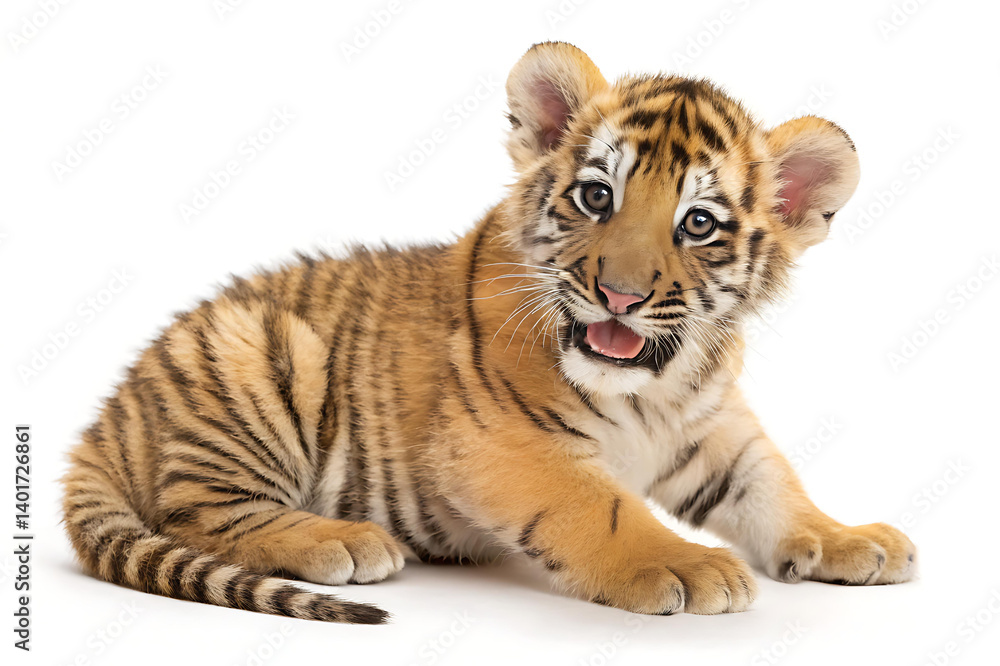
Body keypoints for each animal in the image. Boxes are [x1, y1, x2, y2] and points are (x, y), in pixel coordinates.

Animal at [62, 41, 916, 624]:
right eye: (597, 197)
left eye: (698, 224)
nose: (620, 295)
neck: (656, 389)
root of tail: (106, 414)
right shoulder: (505, 445)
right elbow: (604, 509)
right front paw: (686, 565)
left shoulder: (715, 434)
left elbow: (775, 486)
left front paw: (851, 539)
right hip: (262, 353)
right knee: (194, 512)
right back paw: (342, 542)